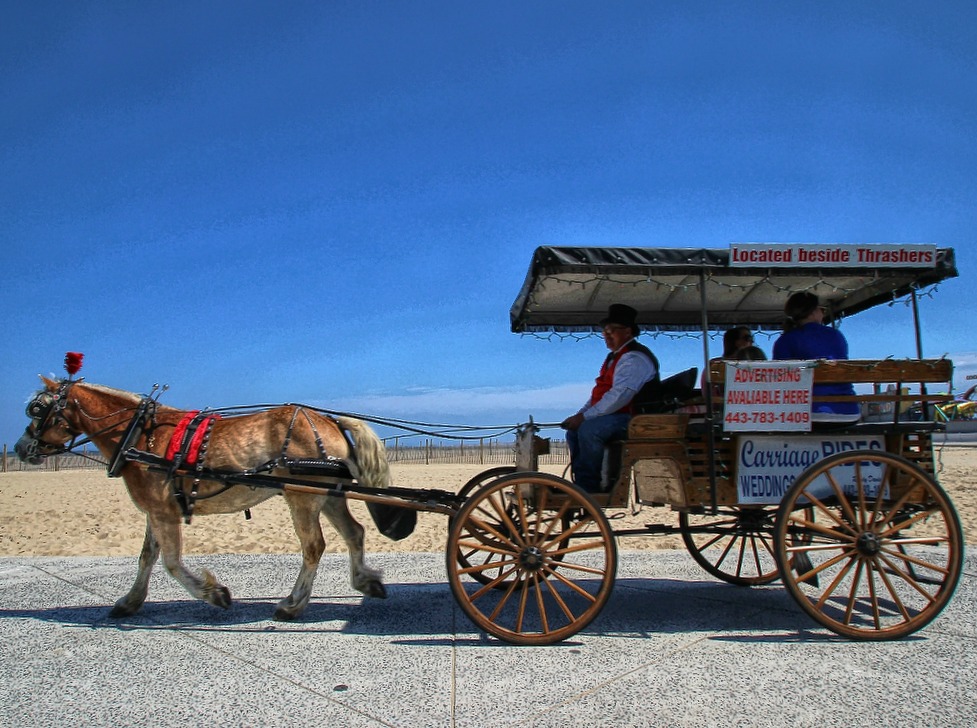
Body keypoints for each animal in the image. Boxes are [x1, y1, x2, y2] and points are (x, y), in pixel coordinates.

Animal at [14, 376, 388, 620]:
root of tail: (330, 421)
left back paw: (292, 604)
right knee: (354, 533)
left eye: (37, 408)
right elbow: (146, 557)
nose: (20, 448)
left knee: (313, 547)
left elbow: (171, 561)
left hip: (302, 498)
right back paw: (366, 582)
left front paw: (214, 594)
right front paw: (130, 601)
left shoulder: (162, 511)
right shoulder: (155, 510)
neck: (140, 435)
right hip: (328, 495)